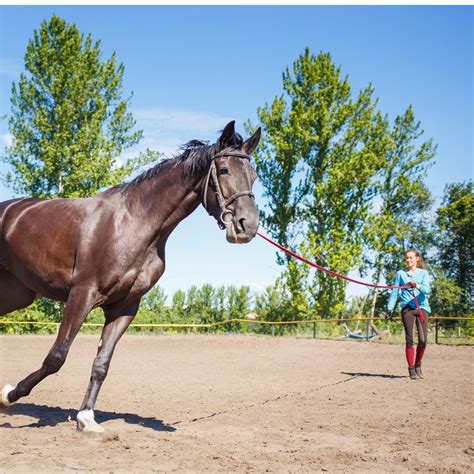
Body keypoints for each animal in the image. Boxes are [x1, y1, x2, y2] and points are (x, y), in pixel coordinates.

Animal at [0, 119, 262, 434]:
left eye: (254, 175)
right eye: (223, 170)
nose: (247, 226)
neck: (134, 223)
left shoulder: (124, 307)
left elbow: (102, 363)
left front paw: (86, 418)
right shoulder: (82, 294)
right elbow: (56, 357)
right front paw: (8, 396)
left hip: (17, 294)